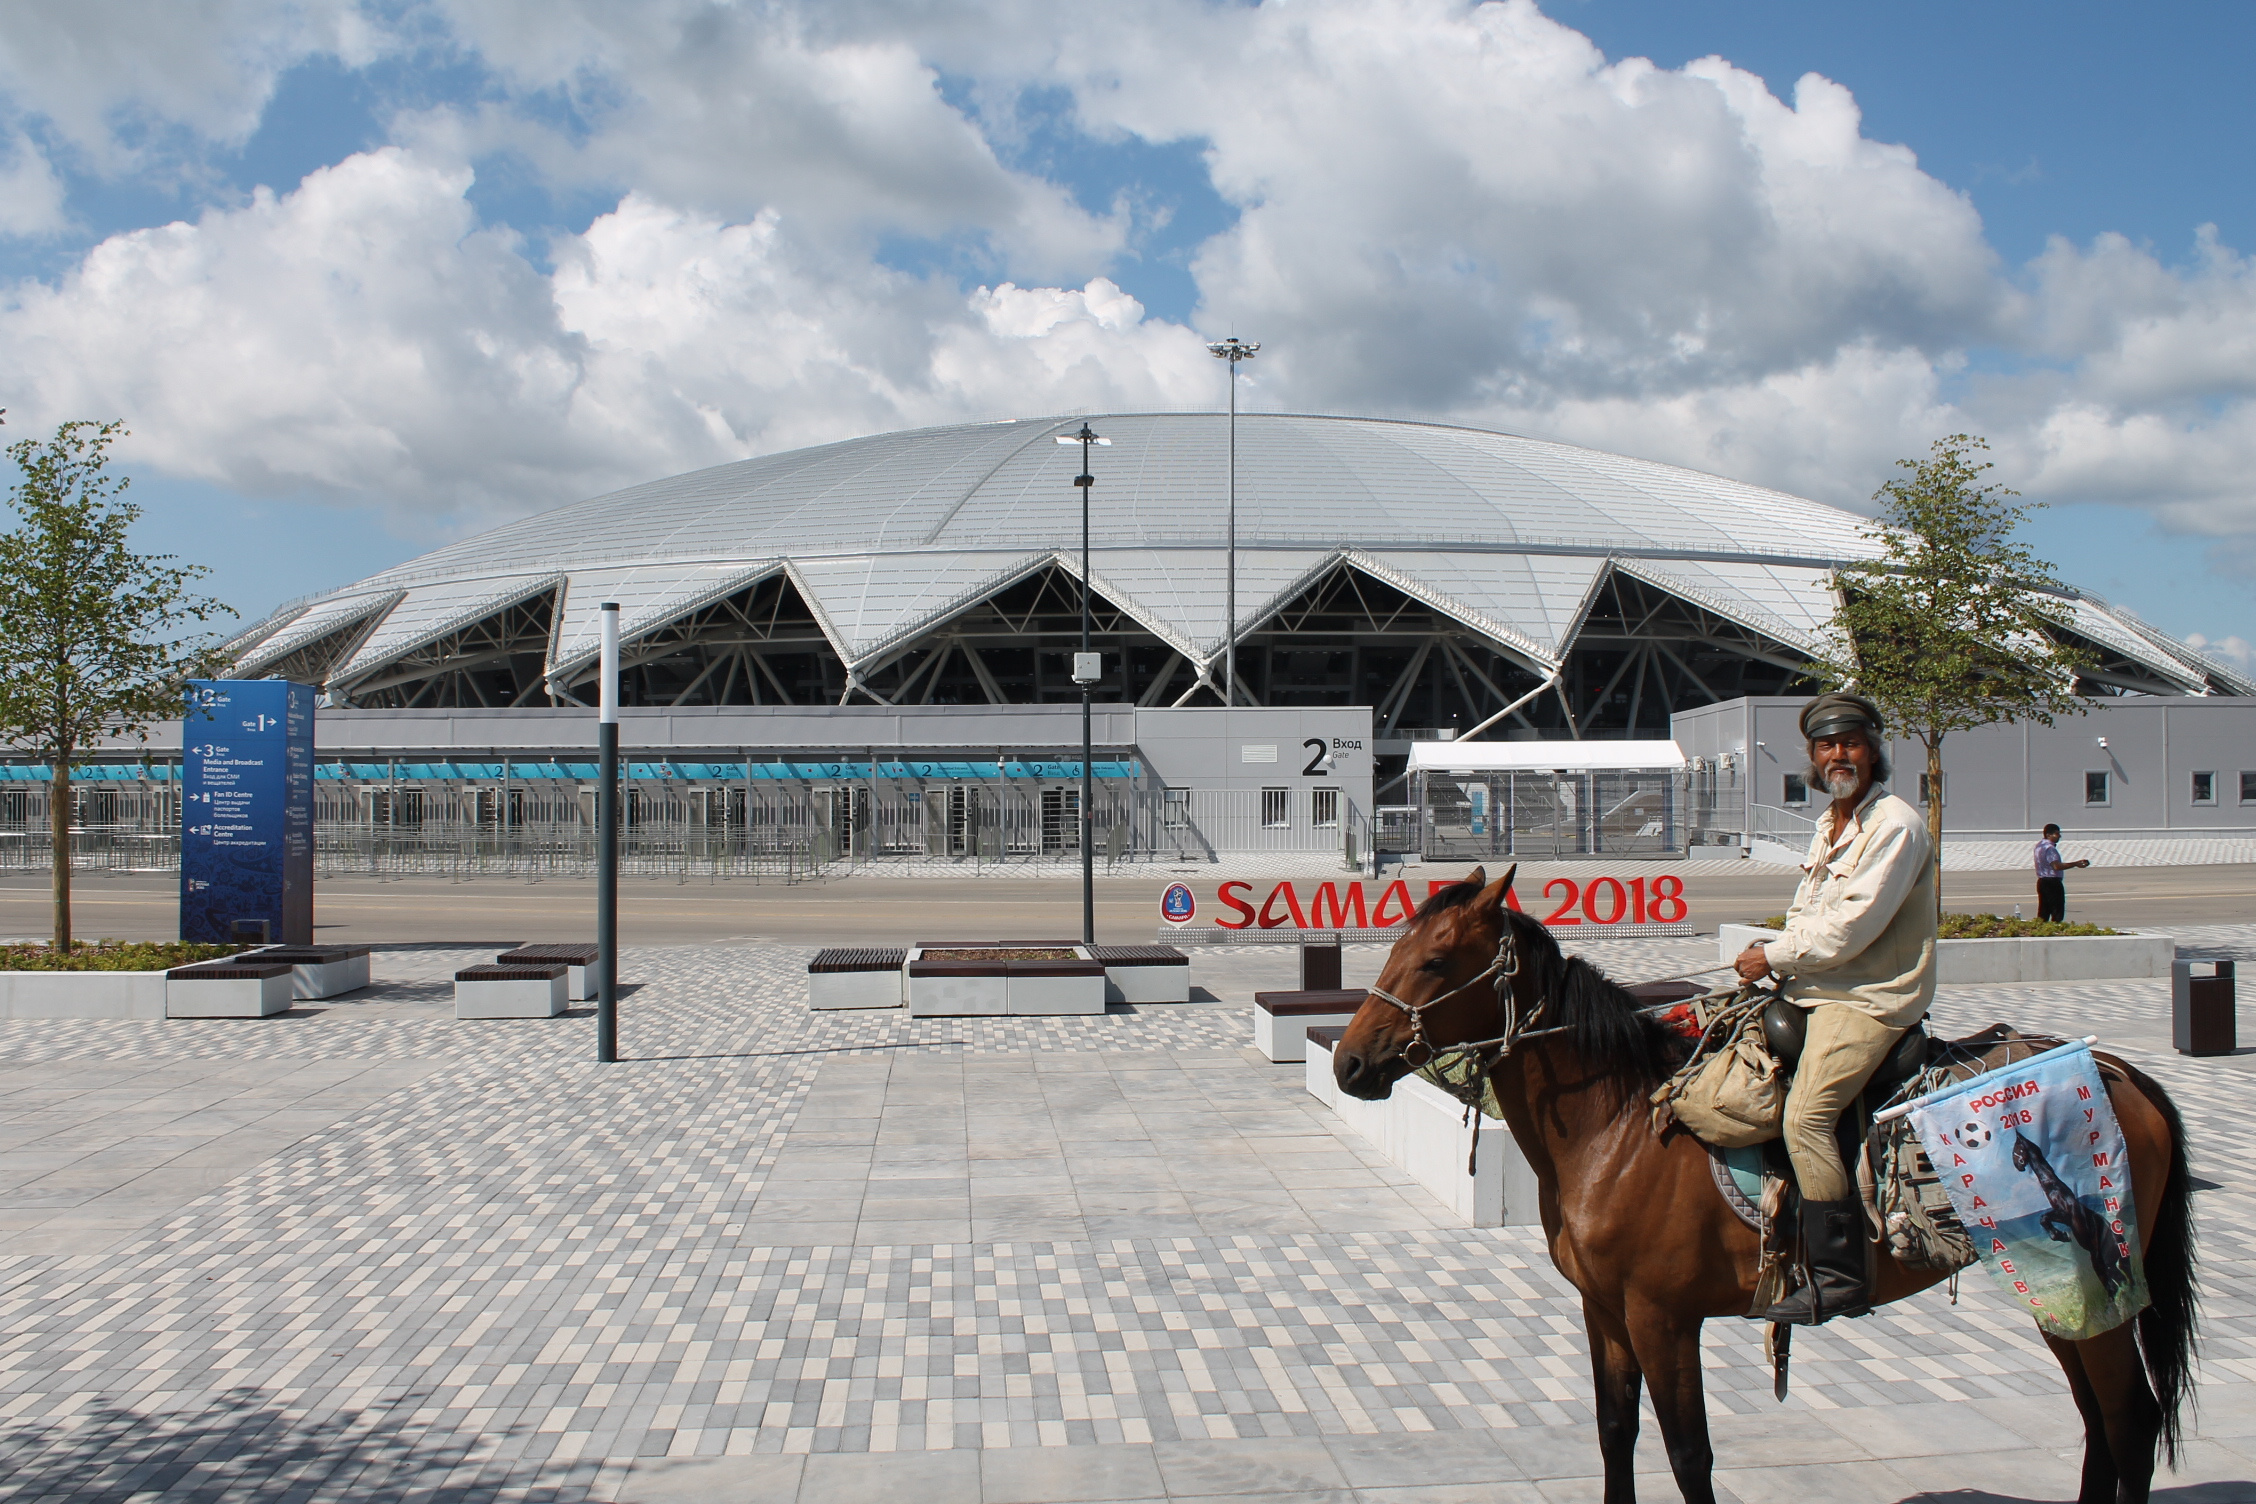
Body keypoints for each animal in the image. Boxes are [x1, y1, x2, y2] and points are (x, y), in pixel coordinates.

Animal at [1326, 865, 2192, 1504]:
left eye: (1435, 961)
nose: (1350, 1062)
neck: (1621, 1127)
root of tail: (2121, 1073)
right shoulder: (1604, 1312)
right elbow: (1615, 1436)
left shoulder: (1663, 1319)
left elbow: (1689, 1455)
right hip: (2058, 1291)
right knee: (2100, 1424)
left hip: (2096, 1281)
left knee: (2130, 1421)